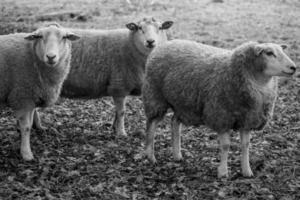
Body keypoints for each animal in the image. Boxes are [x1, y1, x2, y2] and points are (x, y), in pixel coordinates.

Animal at [0, 23, 80, 161]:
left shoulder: (31, 97)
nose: (51, 57)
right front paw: (26, 153)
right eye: (40, 36)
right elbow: (26, 127)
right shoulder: (22, 97)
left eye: (64, 37)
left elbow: (31, 120)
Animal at [143, 39, 298, 177]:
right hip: (155, 96)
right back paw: (151, 157)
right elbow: (226, 146)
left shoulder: (247, 119)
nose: (293, 67)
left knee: (174, 122)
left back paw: (177, 155)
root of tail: (166, 43)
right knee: (151, 126)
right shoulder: (221, 116)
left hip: (183, 102)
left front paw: (247, 171)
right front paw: (223, 172)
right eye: (269, 53)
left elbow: (245, 145)